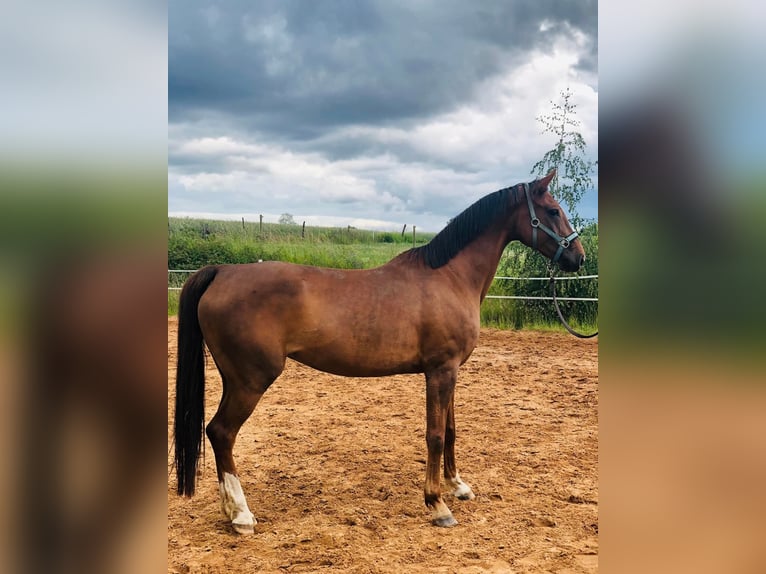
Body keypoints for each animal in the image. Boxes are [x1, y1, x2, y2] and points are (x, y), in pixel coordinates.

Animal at [174, 169, 585, 534]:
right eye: (553, 211)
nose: (578, 257)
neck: (449, 278)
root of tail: (223, 271)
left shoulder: (451, 371)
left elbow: (451, 430)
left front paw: (458, 486)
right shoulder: (440, 370)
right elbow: (435, 435)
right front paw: (437, 504)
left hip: (235, 379)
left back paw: (232, 510)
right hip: (251, 381)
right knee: (221, 432)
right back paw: (242, 516)